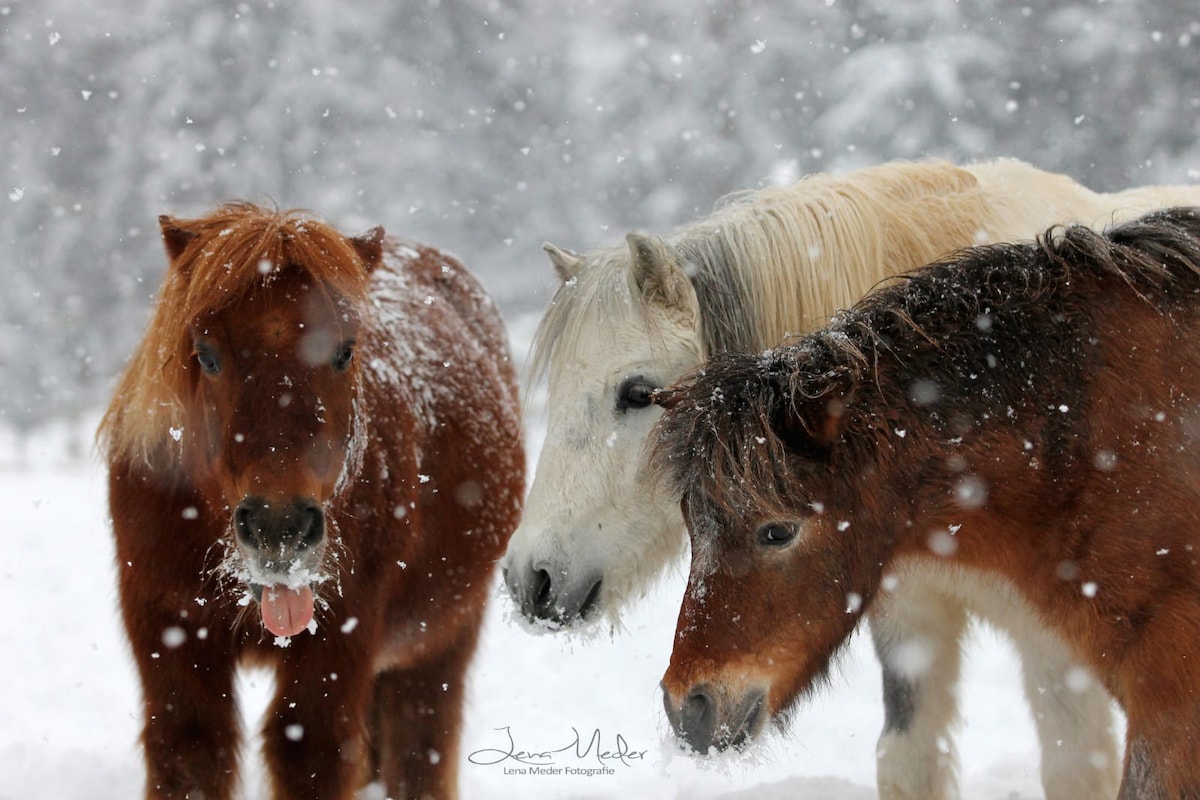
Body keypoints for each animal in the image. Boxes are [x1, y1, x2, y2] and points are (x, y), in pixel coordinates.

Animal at [104, 205, 530, 800]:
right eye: (205, 355)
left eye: (344, 351)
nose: (278, 527)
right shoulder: (169, 633)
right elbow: (190, 753)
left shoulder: (339, 647)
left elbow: (310, 751)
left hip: (439, 643)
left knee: (419, 745)